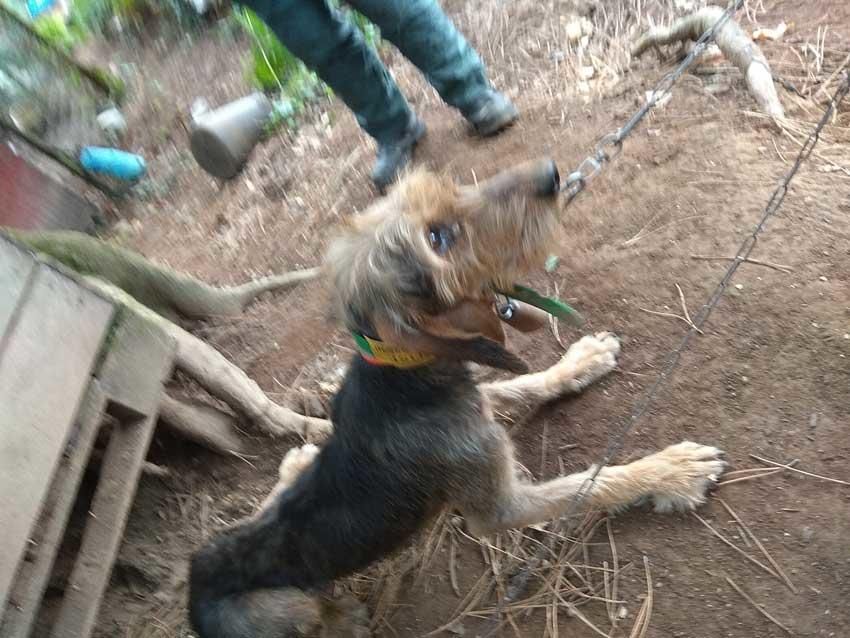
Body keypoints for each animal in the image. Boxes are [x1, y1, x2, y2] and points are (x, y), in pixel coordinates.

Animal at [189, 160, 724, 638]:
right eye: (439, 238)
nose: (551, 174)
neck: (402, 377)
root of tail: (192, 586)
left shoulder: (477, 399)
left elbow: (524, 383)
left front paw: (581, 361)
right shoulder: (499, 507)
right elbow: (593, 483)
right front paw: (672, 471)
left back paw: (295, 463)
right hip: (280, 607)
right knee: (314, 614)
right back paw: (347, 618)